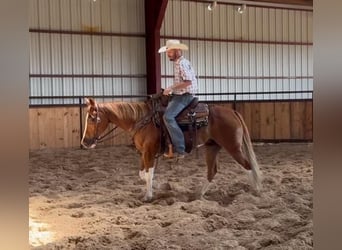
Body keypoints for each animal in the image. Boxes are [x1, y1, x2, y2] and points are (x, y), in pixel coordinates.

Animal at [80, 94, 262, 202]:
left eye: (91, 118)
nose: (84, 143)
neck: (142, 120)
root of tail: (233, 112)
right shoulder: (143, 153)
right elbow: (143, 174)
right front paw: (160, 186)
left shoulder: (149, 152)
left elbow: (148, 173)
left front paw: (148, 195)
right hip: (212, 147)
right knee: (212, 171)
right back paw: (198, 195)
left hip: (233, 147)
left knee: (247, 166)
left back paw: (256, 191)